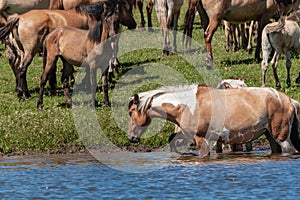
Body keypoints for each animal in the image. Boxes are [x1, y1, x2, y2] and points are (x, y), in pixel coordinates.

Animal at [126, 84, 300, 158]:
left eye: (130, 112)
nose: (131, 138)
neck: (186, 105)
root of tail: (289, 100)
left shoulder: (200, 138)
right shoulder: (186, 133)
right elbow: (172, 139)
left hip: (282, 138)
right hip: (270, 136)